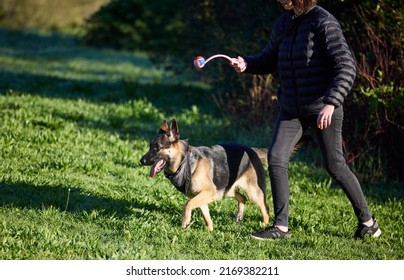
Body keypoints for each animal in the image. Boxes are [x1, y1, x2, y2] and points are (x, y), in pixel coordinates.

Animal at [140, 119, 270, 231]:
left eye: (157, 148)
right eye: (150, 146)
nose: (141, 161)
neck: (184, 162)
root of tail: (252, 150)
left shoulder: (208, 192)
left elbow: (188, 204)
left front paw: (185, 221)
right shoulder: (202, 196)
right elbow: (206, 216)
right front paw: (210, 231)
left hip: (253, 193)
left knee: (265, 207)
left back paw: (265, 224)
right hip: (225, 191)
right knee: (243, 198)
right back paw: (239, 216)